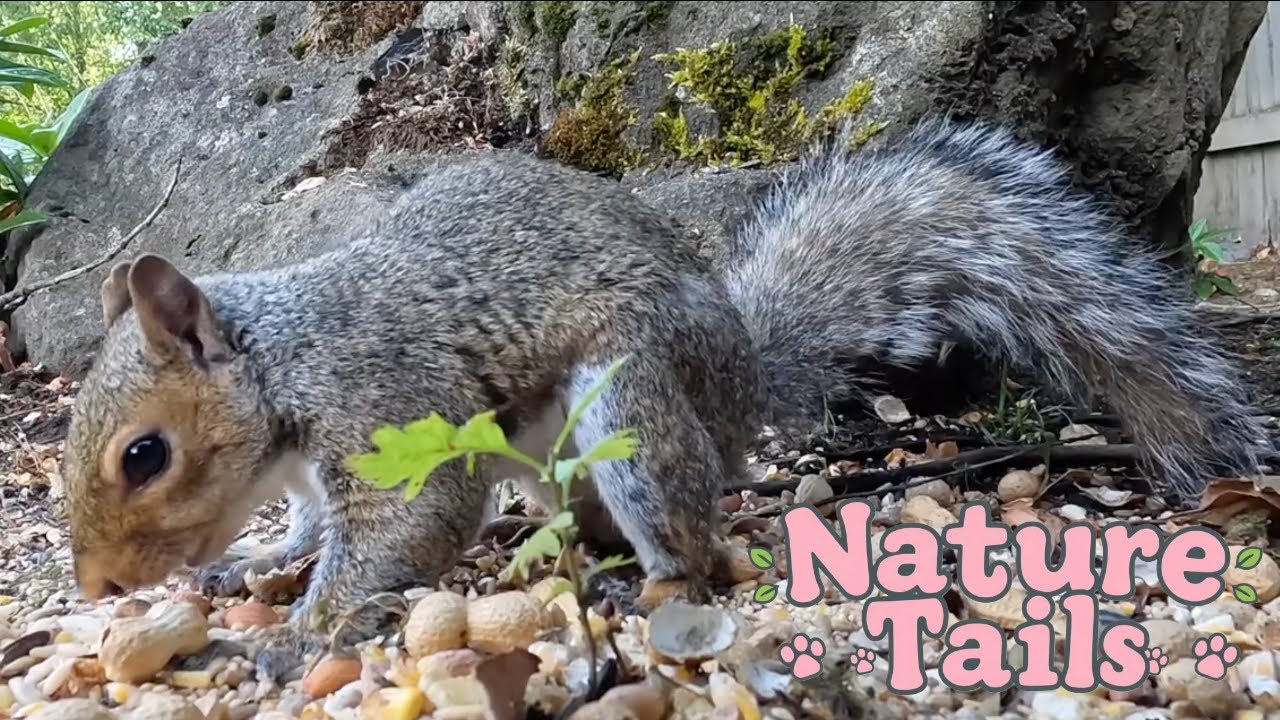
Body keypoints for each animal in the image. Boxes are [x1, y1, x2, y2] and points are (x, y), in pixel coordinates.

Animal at [61, 118, 1271, 681]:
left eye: (143, 454)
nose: (103, 587)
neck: (287, 359)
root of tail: (738, 380)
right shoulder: (314, 470)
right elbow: (312, 528)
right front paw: (255, 568)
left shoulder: (390, 402)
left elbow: (409, 524)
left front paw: (297, 638)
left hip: (631, 402)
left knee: (687, 533)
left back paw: (646, 588)